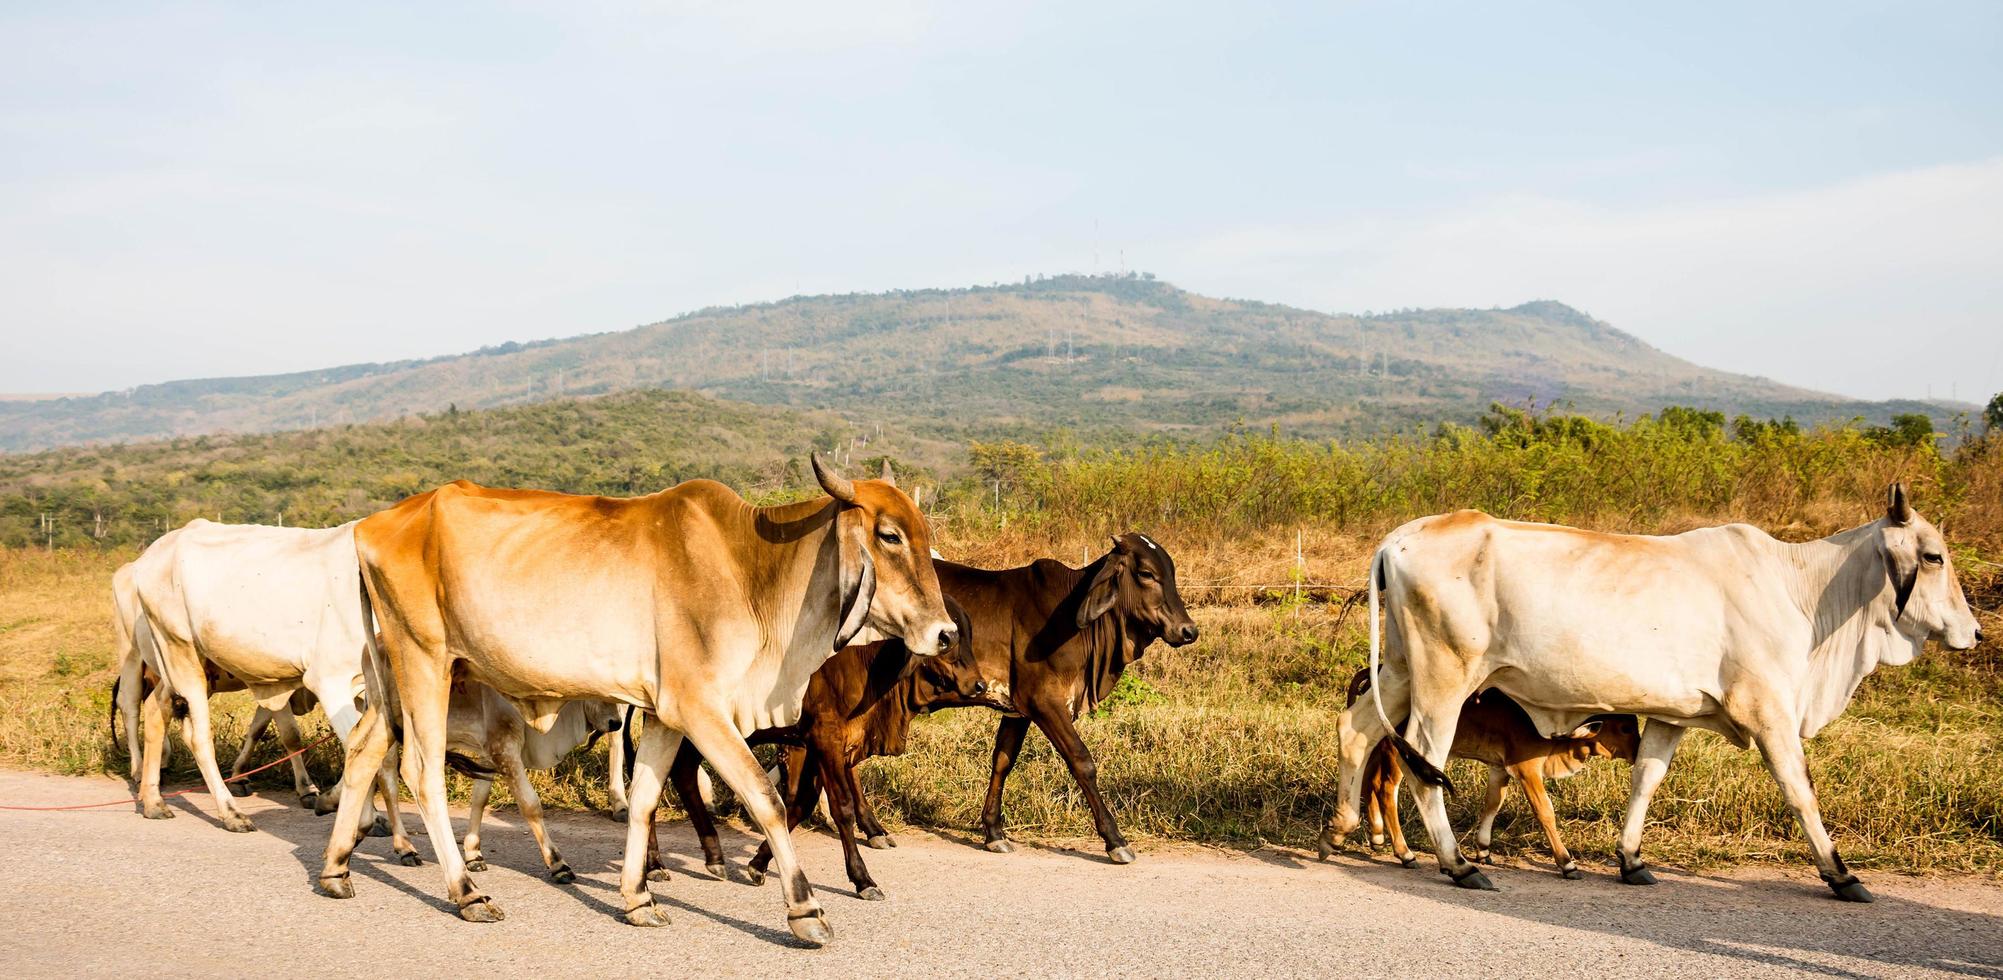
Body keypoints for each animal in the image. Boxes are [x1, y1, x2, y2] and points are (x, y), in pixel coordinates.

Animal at [118, 521, 414, 857]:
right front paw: (342, 806)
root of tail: (148, 557)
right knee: (187, 732)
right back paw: (228, 812)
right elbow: (352, 750)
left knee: (157, 711)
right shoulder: (330, 681)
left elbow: (383, 759)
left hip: (178, 668)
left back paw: (153, 801)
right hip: (176, 655)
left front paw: (391, 832)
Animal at [316, 454, 957, 941]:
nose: (946, 633)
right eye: (889, 536)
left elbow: (646, 800)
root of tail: (370, 527)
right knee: (421, 771)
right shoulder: (703, 709)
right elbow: (766, 799)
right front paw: (805, 909)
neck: (750, 570)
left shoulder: (668, 713)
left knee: (364, 750)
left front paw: (639, 898)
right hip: (424, 660)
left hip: (399, 679)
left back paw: (337, 868)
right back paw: (466, 891)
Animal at [664, 593, 993, 897]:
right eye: (948, 642)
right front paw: (862, 878)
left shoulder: (812, 745)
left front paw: (758, 864)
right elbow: (841, 807)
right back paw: (659, 865)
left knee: (681, 772)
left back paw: (711, 856)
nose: (980, 685)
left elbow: (801, 803)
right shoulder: (826, 739)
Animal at [1338, 669, 1634, 873]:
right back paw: (1404, 853)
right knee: (1386, 788)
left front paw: (1483, 850)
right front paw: (1566, 862)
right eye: (1625, 727)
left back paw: (1377, 836)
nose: (1636, 752)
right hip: (1400, 752)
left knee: (1369, 778)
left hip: (1381, 746)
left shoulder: (1500, 768)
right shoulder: (1526, 769)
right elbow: (1545, 811)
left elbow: (1493, 803)